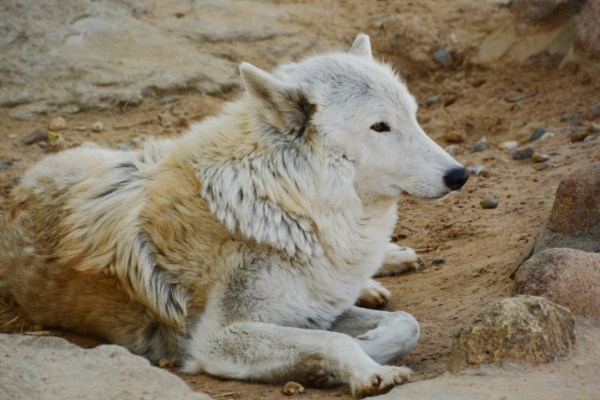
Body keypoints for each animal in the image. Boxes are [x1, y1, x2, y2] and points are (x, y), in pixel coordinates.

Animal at [0, 36, 468, 398]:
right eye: (380, 127)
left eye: (414, 116)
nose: (460, 174)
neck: (288, 201)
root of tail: (24, 184)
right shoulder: (220, 338)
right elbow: (334, 340)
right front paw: (361, 370)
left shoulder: (314, 309)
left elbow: (407, 323)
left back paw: (385, 267)